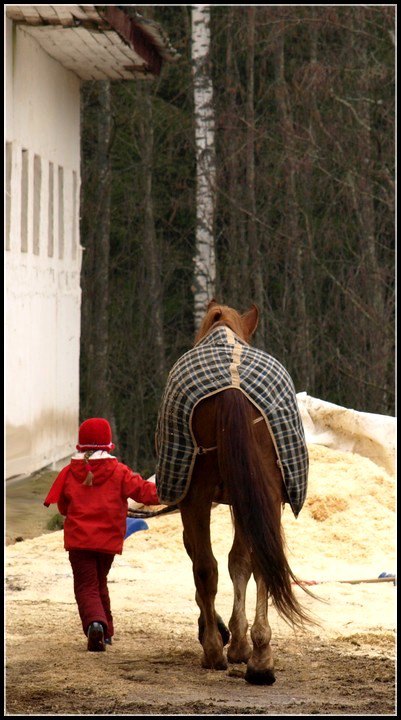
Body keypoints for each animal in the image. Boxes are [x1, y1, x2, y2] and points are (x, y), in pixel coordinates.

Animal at [155, 300, 314, 684]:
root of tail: (233, 387)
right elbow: (241, 561)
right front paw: (242, 643)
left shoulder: (195, 500)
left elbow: (217, 563)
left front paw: (227, 638)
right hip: (265, 496)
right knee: (261, 563)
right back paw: (261, 659)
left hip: (196, 497)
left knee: (205, 567)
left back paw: (215, 650)